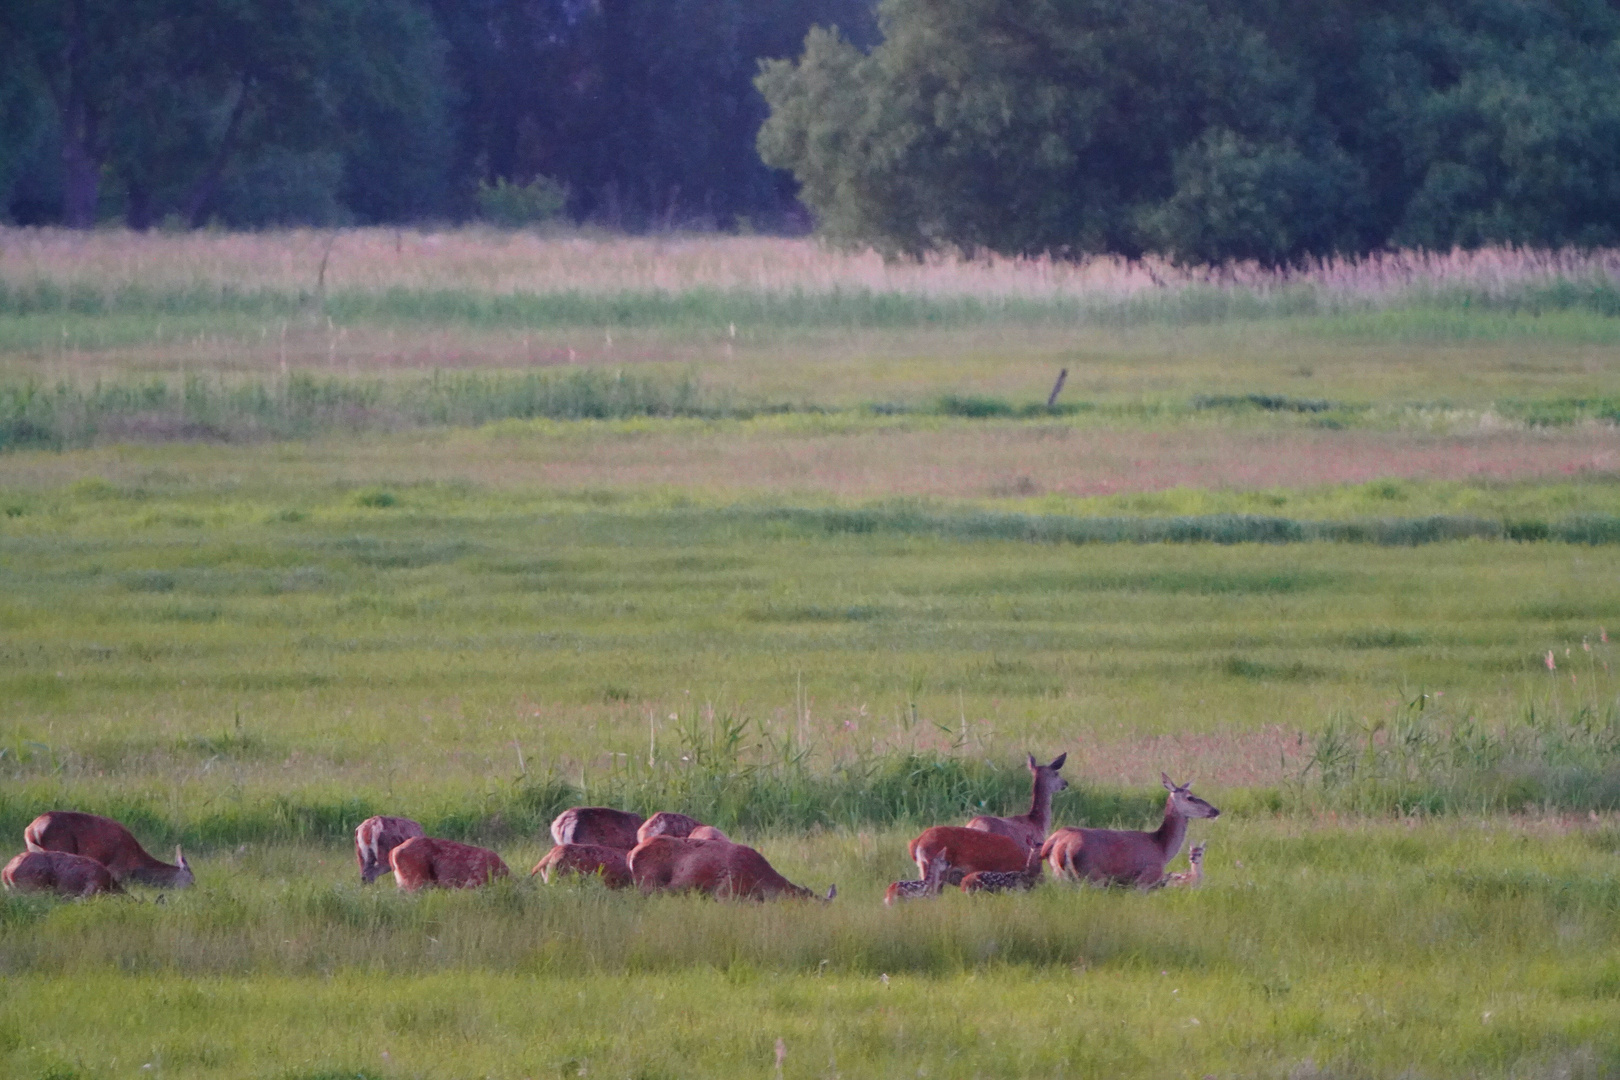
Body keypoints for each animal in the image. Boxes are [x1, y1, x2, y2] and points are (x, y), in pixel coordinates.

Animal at [1036, 773, 1218, 893]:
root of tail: (1057, 843)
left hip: (1060, 875)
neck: (1162, 848)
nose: (1215, 810)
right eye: (1190, 797)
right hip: (1092, 875)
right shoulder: (1145, 879)